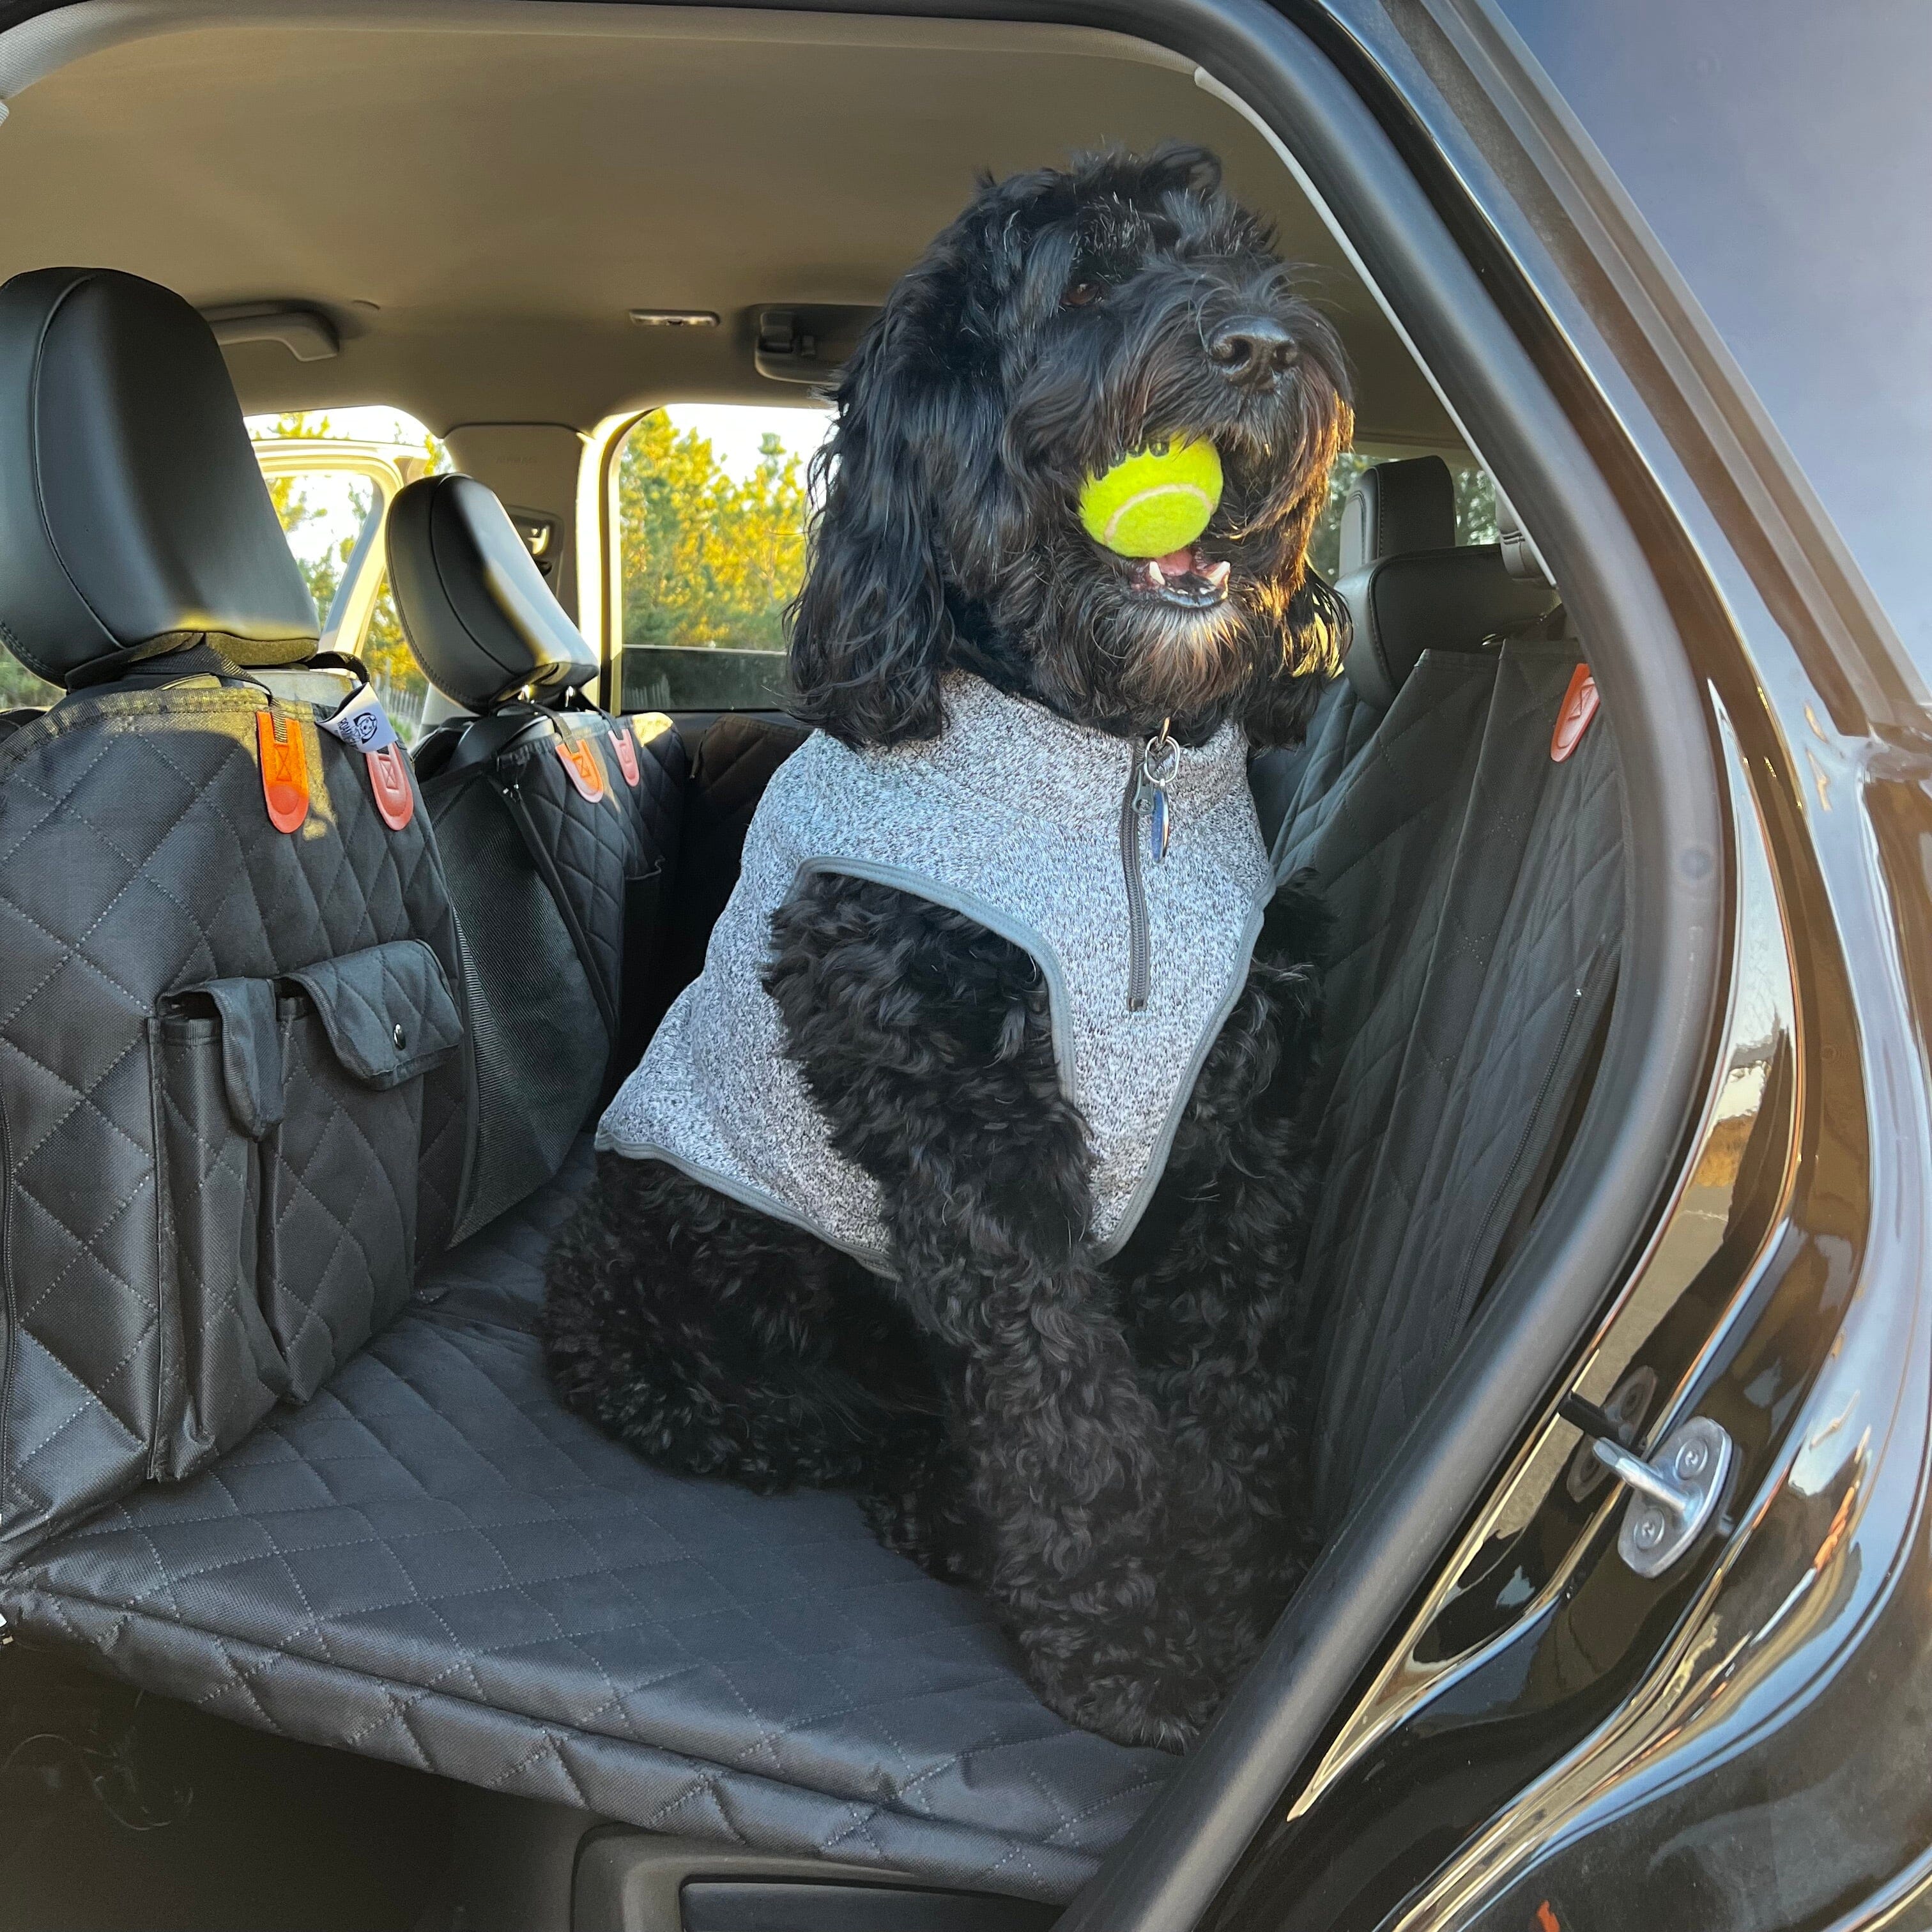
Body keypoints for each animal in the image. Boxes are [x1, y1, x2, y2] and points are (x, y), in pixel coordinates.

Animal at [544, 146, 1352, 1754]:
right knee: (808, 1423)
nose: (1264, 349)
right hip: (670, 1267)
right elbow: (1068, 1417)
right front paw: (1137, 1648)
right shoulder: (974, 1159)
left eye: (1250, 268)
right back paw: (933, 1505)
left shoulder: (1234, 1141)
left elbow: (1226, 1382)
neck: (1108, 765)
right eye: (1087, 280)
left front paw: (1236, 1575)